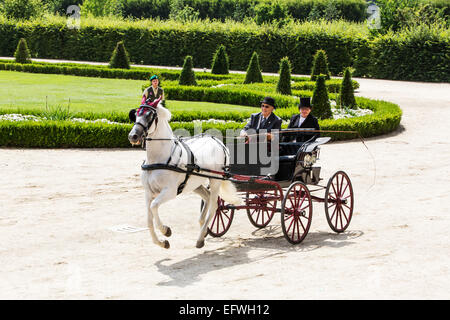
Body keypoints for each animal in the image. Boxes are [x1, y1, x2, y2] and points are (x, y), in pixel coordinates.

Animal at [128, 101, 241, 249]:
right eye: (136, 114)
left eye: (149, 115)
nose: (133, 136)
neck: (158, 159)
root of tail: (218, 142)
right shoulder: (148, 192)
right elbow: (148, 220)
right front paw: (161, 242)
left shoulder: (170, 191)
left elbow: (154, 206)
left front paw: (165, 230)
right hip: (195, 184)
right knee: (208, 197)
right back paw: (203, 228)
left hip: (215, 181)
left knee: (214, 207)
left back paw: (200, 238)